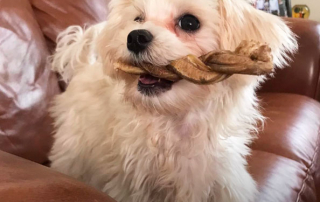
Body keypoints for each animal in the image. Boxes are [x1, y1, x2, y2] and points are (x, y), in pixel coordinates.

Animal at [48, 0, 296, 202]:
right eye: (138, 18)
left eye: (189, 22)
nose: (135, 37)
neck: (174, 119)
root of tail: (83, 67)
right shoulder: (130, 183)